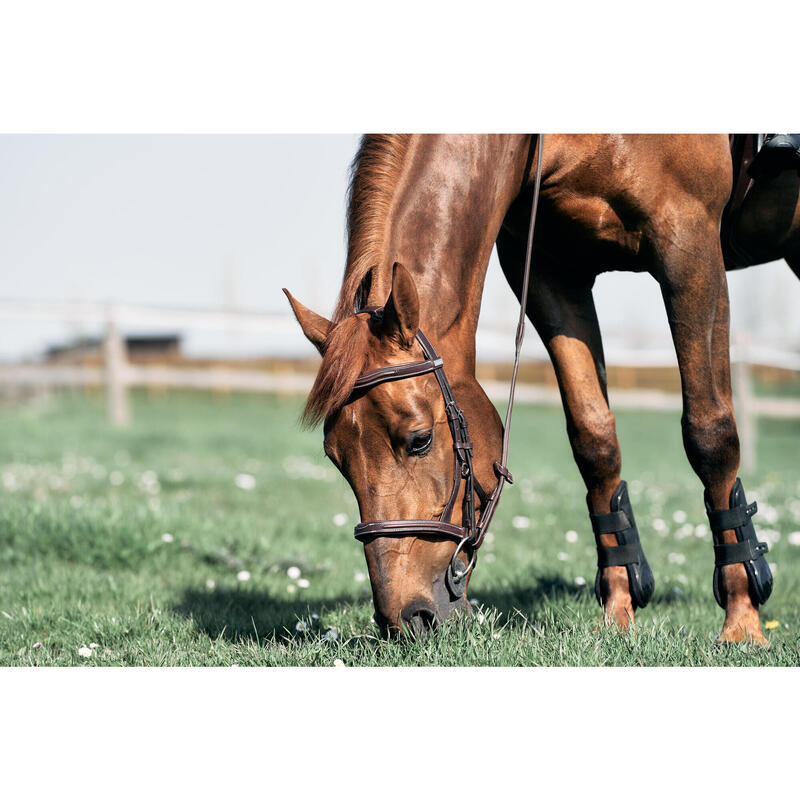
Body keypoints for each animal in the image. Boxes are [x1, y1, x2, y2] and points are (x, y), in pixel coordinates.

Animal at [282, 133, 800, 644]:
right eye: (335, 456)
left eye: (419, 440)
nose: (406, 621)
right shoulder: (552, 273)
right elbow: (594, 441)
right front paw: (618, 615)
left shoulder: (689, 243)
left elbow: (710, 432)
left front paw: (742, 621)